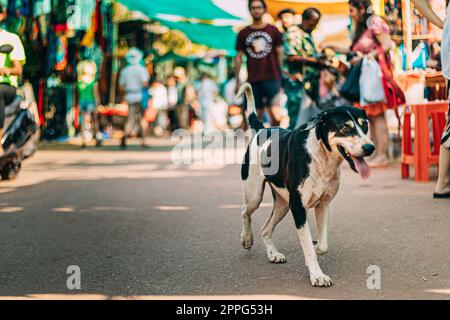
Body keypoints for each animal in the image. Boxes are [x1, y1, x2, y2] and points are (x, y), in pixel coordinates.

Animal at [237, 83, 374, 288]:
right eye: (345, 128)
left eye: (365, 125)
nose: (370, 148)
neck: (322, 157)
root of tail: (263, 130)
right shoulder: (299, 208)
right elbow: (307, 246)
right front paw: (317, 275)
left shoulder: (323, 205)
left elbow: (322, 246)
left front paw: (317, 249)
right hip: (255, 194)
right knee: (245, 211)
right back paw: (246, 239)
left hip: (283, 205)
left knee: (266, 229)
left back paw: (273, 254)